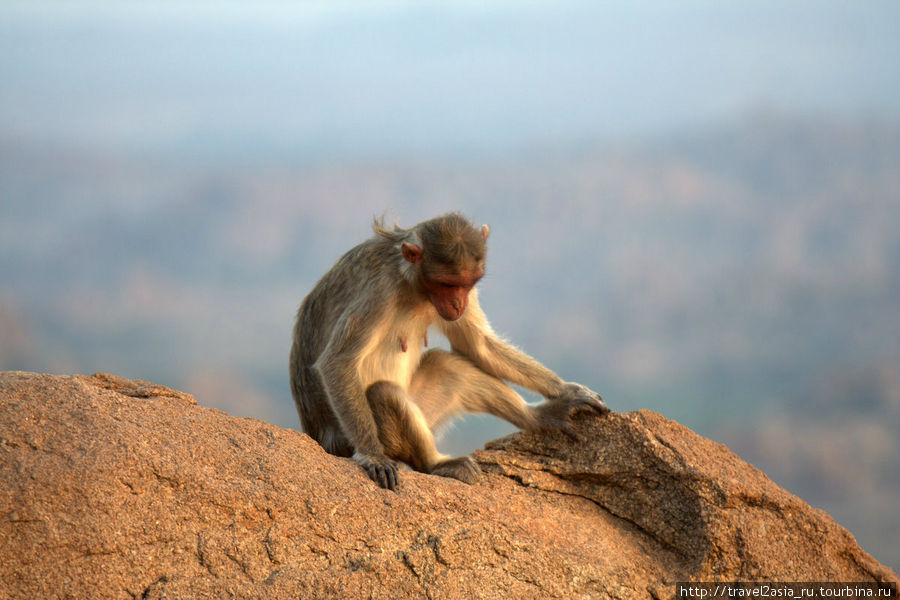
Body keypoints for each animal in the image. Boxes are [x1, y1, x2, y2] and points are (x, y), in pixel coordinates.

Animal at [292, 213, 608, 490]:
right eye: (446, 284)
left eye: (468, 283)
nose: (459, 304)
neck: (411, 282)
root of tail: (324, 441)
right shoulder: (378, 290)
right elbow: (338, 361)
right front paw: (372, 454)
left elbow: (477, 345)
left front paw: (566, 390)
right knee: (386, 393)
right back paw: (434, 464)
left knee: (449, 368)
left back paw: (539, 417)